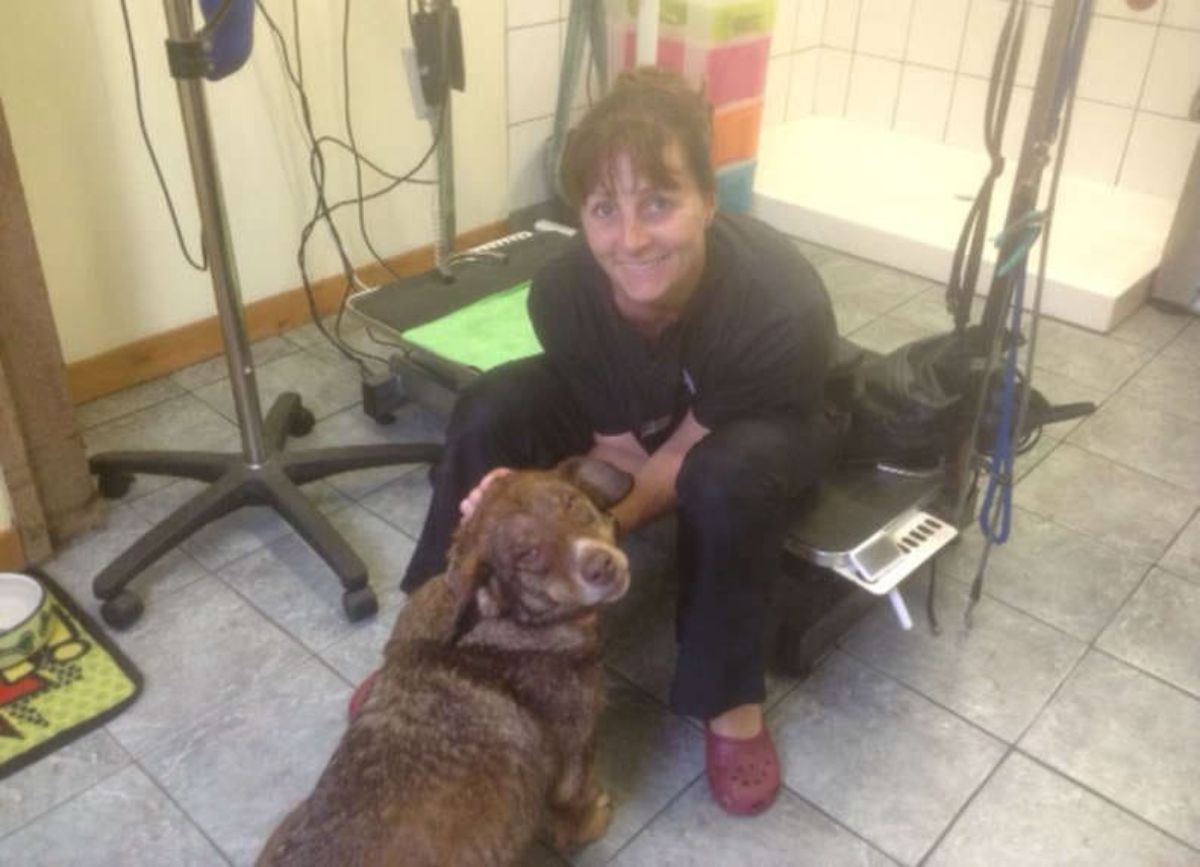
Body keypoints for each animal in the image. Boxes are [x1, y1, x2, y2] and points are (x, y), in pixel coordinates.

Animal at [256, 451, 633, 864]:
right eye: (526, 555)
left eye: (571, 503)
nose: (601, 566)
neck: (506, 620)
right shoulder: (575, 760)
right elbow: (575, 812)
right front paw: (594, 817)